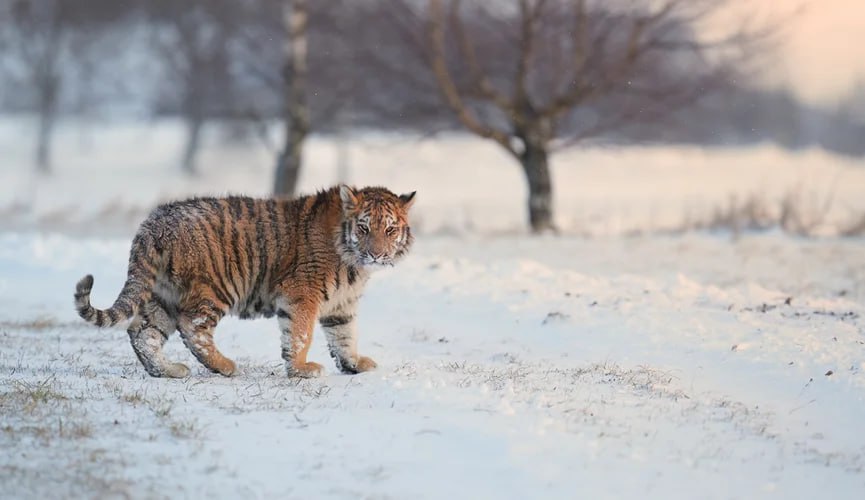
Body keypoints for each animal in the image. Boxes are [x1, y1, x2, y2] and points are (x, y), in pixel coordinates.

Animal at [71, 185, 416, 378]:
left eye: (389, 229)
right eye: (363, 228)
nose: (377, 254)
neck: (352, 260)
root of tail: (154, 221)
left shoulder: (342, 303)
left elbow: (345, 336)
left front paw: (354, 364)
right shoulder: (302, 292)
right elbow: (300, 334)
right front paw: (302, 370)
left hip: (161, 295)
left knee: (143, 333)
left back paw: (167, 371)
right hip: (214, 287)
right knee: (192, 327)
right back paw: (224, 366)